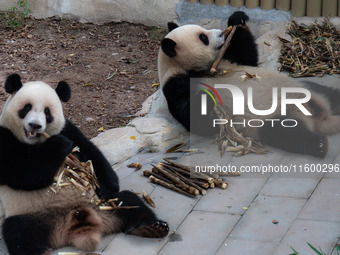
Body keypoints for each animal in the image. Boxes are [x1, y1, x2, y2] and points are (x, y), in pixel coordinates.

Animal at [0, 73, 169, 255]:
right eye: (26, 108)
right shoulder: (4, 136)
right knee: (19, 233)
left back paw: (151, 227)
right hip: (32, 216)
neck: (35, 142)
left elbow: (93, 155)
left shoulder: (69, 129)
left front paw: (106, 188)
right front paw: (59, 144)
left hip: (101, 206)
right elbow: (23, 172)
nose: (35, 125)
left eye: (47, 112)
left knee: (128, 201)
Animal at [158, 11, 340, 157]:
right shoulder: (176, 84)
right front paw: (205, 97)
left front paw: (237, 20)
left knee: (329, 93)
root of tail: (320, 117)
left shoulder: (229, 60)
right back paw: (320, 145)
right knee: (287, 132)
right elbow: (197, 120)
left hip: (303, 87)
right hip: (273, 116)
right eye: (203, 37)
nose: (221, 34)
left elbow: (248, 56)